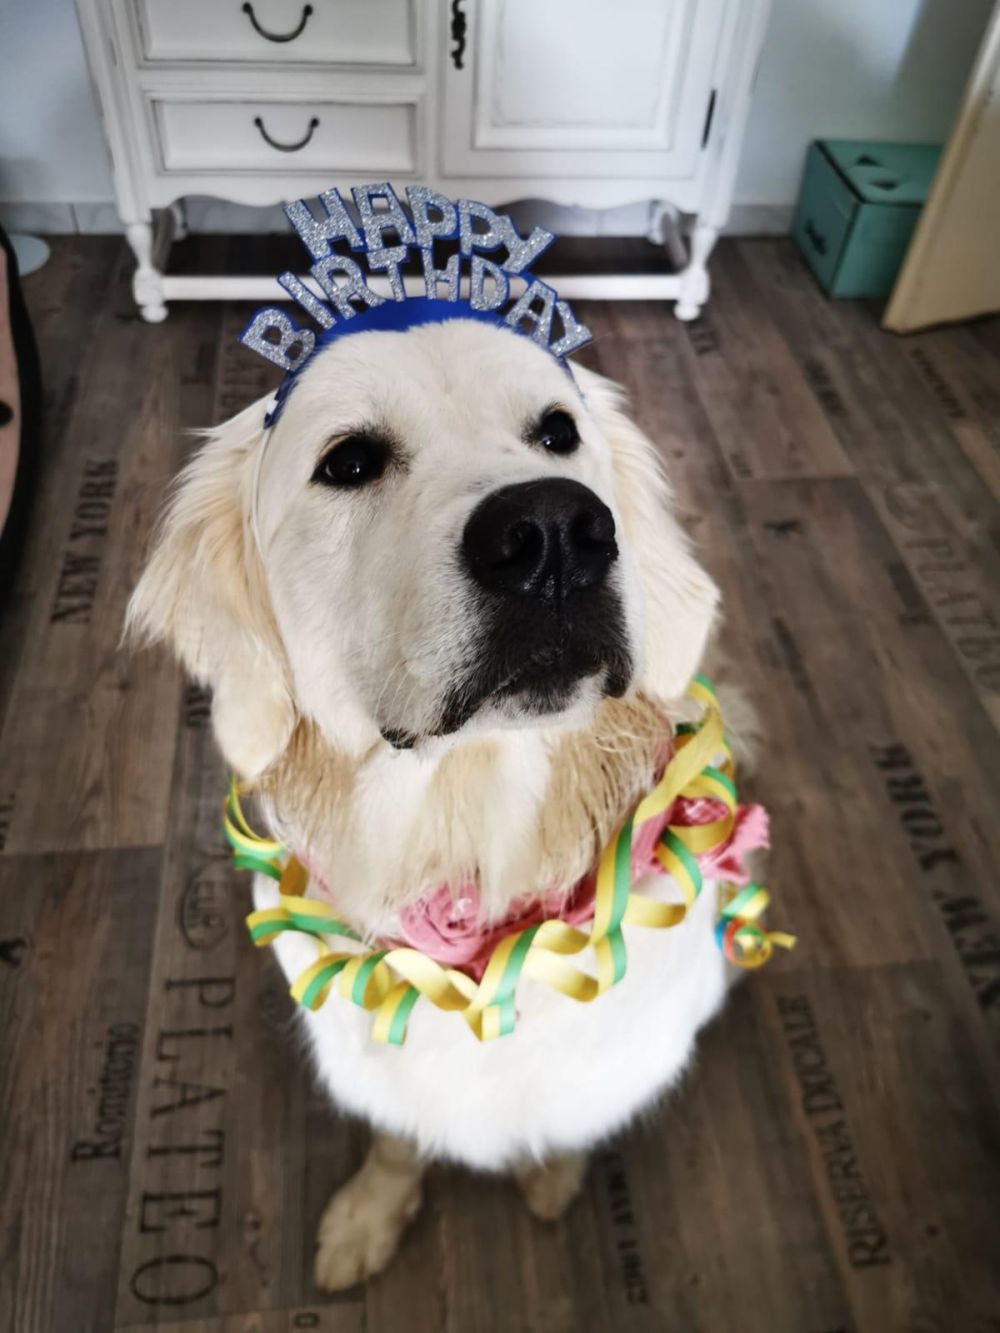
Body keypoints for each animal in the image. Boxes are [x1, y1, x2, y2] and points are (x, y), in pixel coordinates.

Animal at [128, 316, 757, 1291]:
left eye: (558, 433)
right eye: (349, 460)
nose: (555, 530)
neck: (472, 843)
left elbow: (570, 1114)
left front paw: (552, 1168)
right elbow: (397, 1139)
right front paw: (369, 1215)